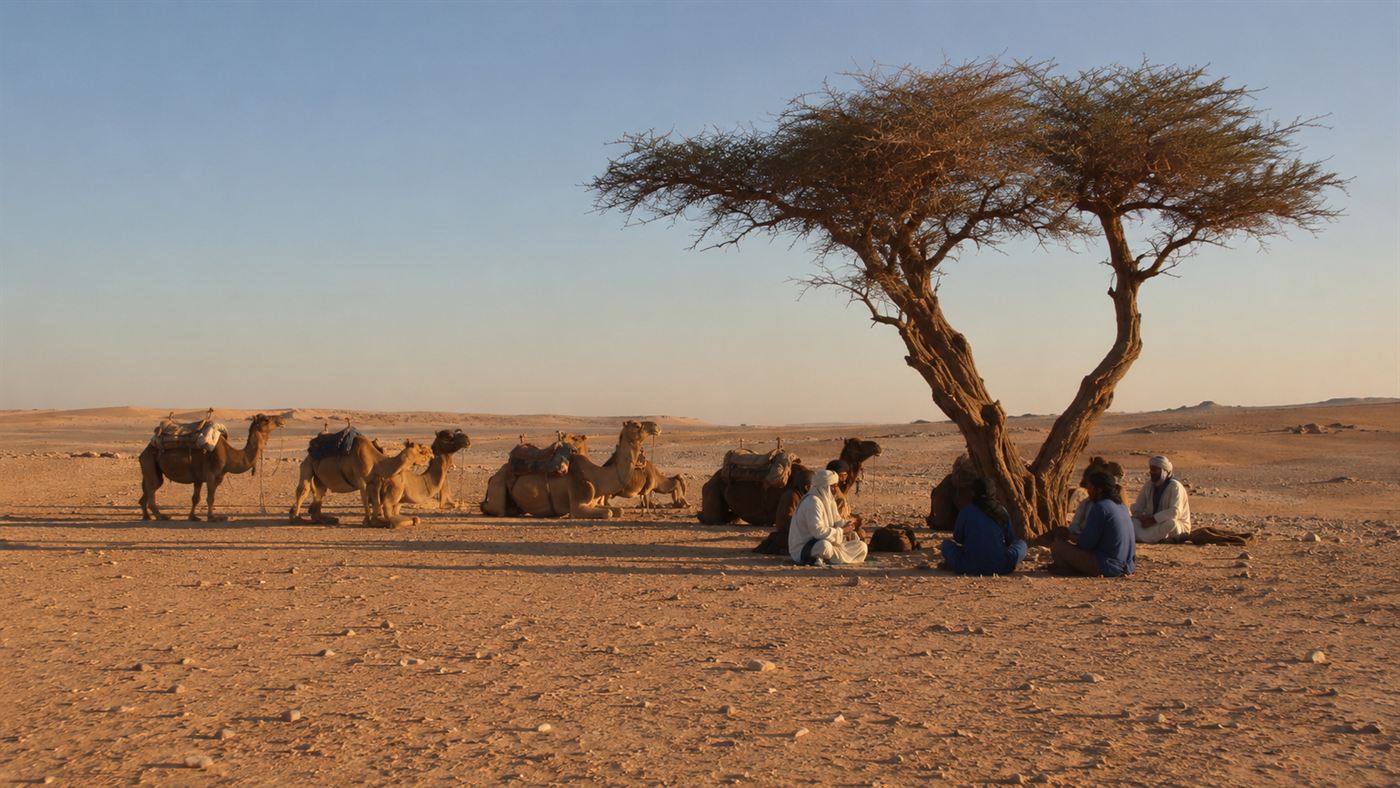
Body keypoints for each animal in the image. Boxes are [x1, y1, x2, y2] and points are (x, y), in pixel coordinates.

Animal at [138, 413, 285, 522]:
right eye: (266, 419)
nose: (282, 419)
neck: (228, 454)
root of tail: (144, 452)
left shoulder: (204, 478)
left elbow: (196, 498)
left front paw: (193, 517)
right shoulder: (211, 474)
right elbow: (210, 498)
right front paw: (212, 517)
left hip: (149, 468)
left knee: (147, 491)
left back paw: (147, 516)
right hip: (150, 462)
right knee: (152, 489)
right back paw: (161, 516)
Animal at [480, 421, 661, 519]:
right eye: (637, 425)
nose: (657, 426)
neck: (598, 477)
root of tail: (492, 478)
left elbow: (618, 510)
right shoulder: (577, 504)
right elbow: (607, 513)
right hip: (498, 487)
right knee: (494, 509)